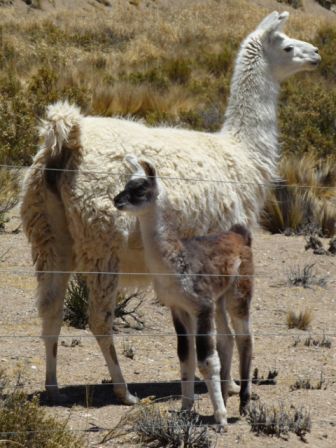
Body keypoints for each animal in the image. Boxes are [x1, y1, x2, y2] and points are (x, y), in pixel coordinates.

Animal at [114, 156, 253, 428]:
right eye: (125, 185)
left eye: (139, 189)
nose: (117, 200)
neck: (176, 264)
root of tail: (239, 234)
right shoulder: (179, 307)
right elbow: (185, 357)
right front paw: (186, 408)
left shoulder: (201, 306)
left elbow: (206, 361)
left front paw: (220, 418)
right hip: (219, 298)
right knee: (227, 338)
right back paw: (227, 394)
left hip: (239, 290)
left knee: (245, 339)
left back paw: (243, 404)